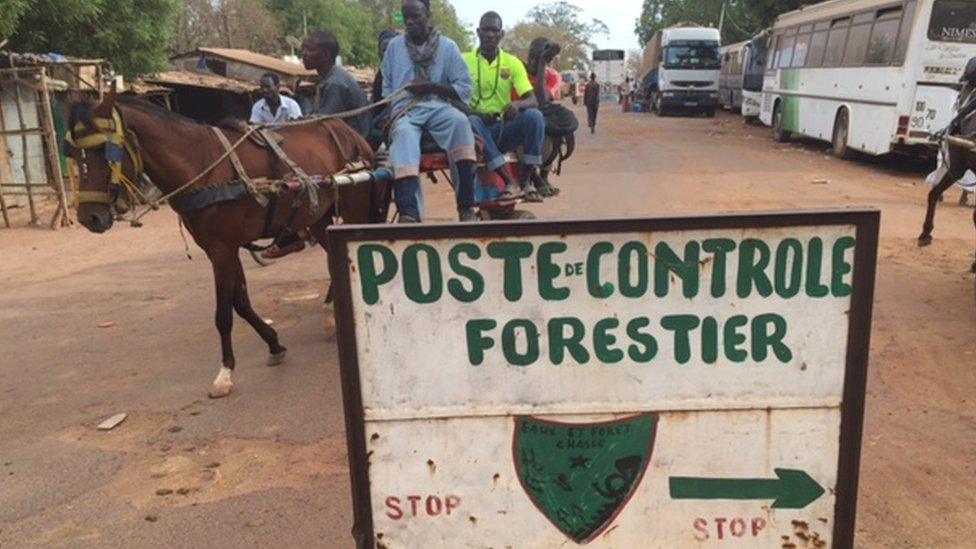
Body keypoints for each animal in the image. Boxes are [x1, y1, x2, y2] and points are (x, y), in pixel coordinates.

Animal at [66, 90, 382, 398]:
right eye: (73, 152)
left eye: (105, 151)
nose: (89, 217)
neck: (201, 164)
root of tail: (350, 133)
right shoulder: (224, 248)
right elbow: (240, 303)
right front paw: (274, 344)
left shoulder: (222, 250)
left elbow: (223, 314)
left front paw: (225, 373)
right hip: (318, 215)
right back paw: (329, 311)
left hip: (353, 207)